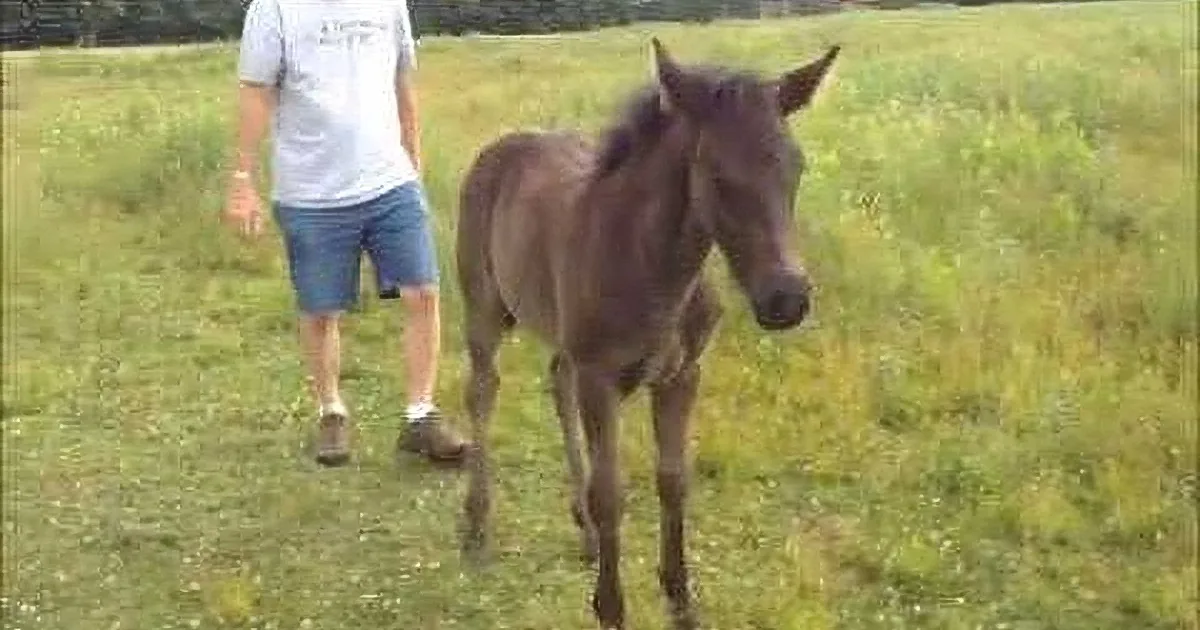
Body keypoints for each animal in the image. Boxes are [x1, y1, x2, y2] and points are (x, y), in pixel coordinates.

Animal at [454, 37, 841, 630]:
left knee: (555, 381)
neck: (655, 270)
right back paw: (476, 523)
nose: (786, 300)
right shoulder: (599, 378)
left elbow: (673, 481)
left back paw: (586, 534)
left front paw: (681, 599)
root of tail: (503, 143)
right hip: (484, 306)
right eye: (715, 173)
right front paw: (611, 607)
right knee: (483, 390)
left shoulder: (682, 375)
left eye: (796, 166)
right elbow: (611, 490)